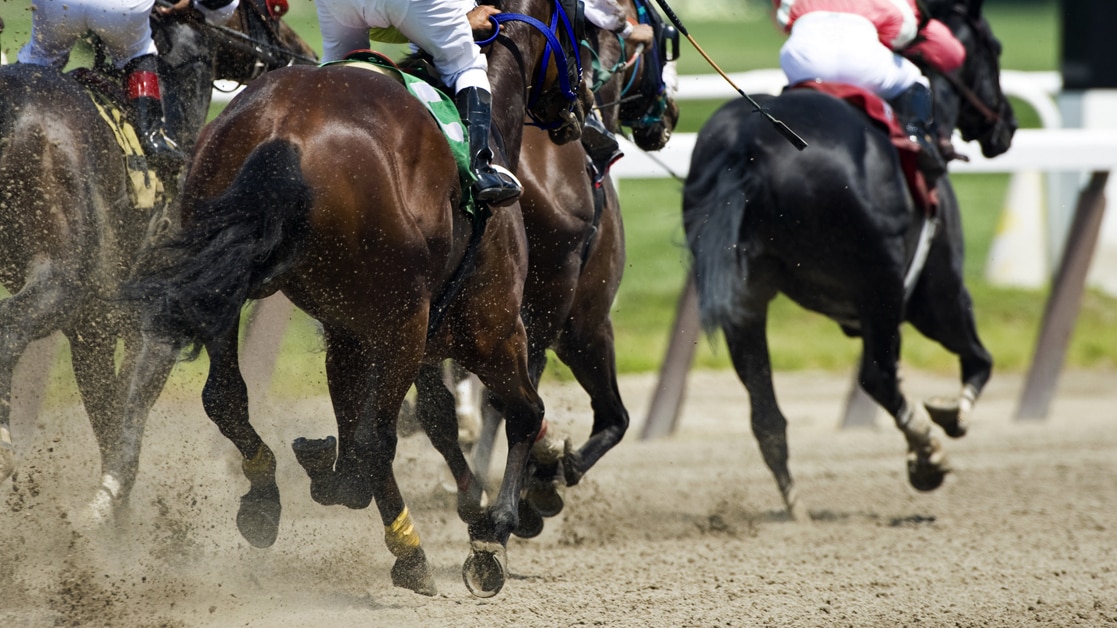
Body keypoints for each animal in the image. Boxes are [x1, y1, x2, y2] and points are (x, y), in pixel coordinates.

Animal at [0, 6, 316, 523]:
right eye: (270, 7)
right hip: (60, 279)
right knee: (10, 326)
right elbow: (129, 417)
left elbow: (108, 415)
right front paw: (109, 505)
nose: (301, 52)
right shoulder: (153, 321)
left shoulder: (92, 328)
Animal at [118, 0, 588, 598]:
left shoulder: (348, 330)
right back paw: (408, 550)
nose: (582, 112)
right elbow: (523, 412)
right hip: (407, 321)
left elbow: (365, 429)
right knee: (374, 440)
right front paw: (494, 535)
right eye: (579, 28)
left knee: (226, 397)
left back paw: (267, 498)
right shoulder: (492, 327)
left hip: (229, 279)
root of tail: (286, 130)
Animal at [682, 0, 1016, 522]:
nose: (1008, 125)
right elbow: (978, 360)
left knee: (766, 414)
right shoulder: (935, 293)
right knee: (876, 376)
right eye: (994, 49)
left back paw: (796, 507)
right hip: (883, 284)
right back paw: (927, 456)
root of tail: (749, 145)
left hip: (745, 298)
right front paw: (948, 419)